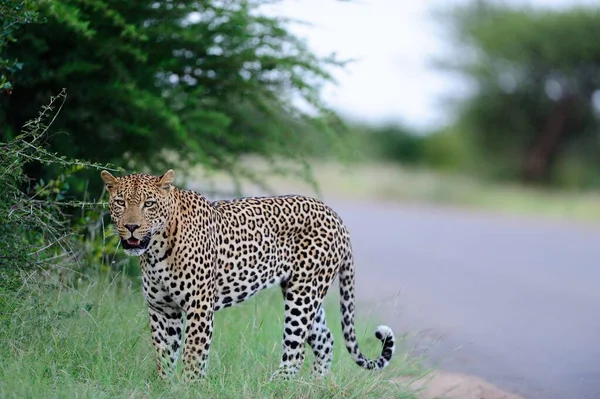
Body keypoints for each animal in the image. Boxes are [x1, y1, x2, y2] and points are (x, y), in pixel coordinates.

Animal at [101, 169, 396, 382]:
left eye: (149, 204)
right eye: (120, 203)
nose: (131, 226)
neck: (156, 249)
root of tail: (337, 217)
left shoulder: (199, 306)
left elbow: (193, 354)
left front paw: (189, 386)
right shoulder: (162, 309)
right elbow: (164, 354)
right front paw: (166, 386)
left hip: (303, 296)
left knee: (296, 350)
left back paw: (276, 386)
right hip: (303, 291)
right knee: (325, 340)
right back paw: (314, 385)